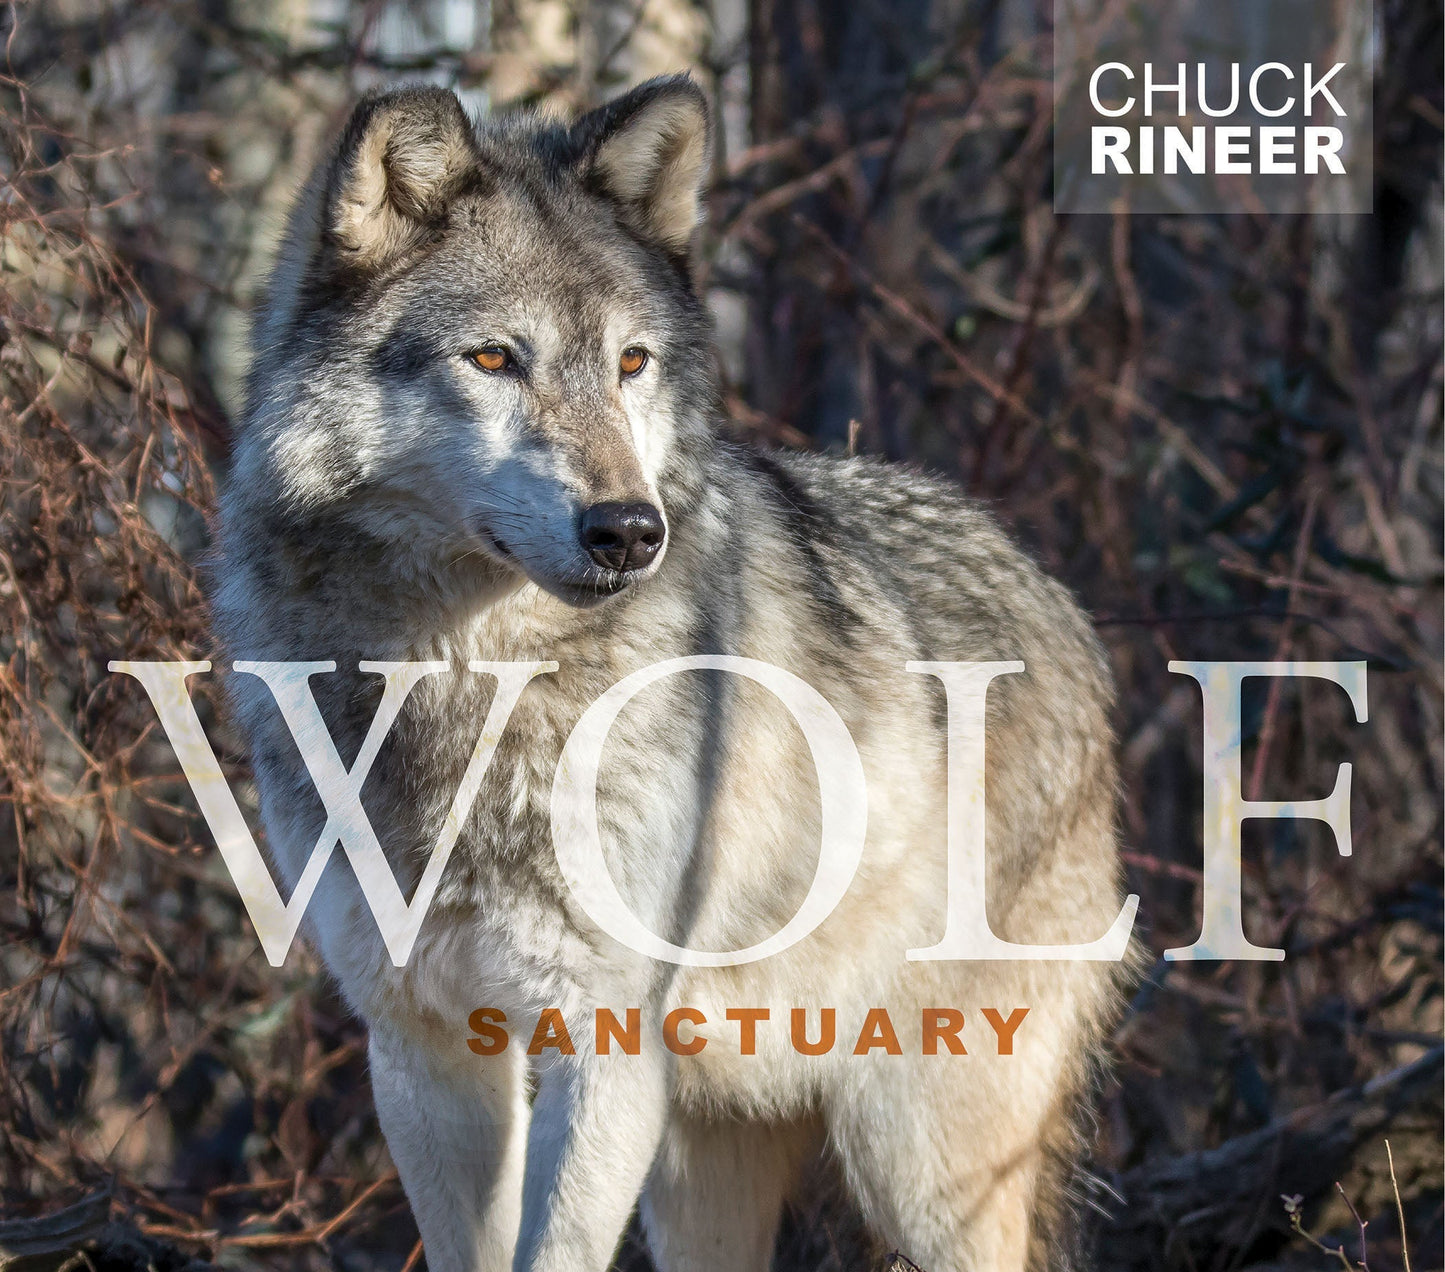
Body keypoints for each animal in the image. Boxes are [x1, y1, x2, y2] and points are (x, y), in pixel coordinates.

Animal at [212, 74, 1133, 1272]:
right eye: (494, 359)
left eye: (632, 363)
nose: (627, 531)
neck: (463, 682)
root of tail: (1051, 588)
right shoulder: (418, 1043)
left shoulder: (605, 1043)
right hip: (707, 1165)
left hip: (919, 1162)